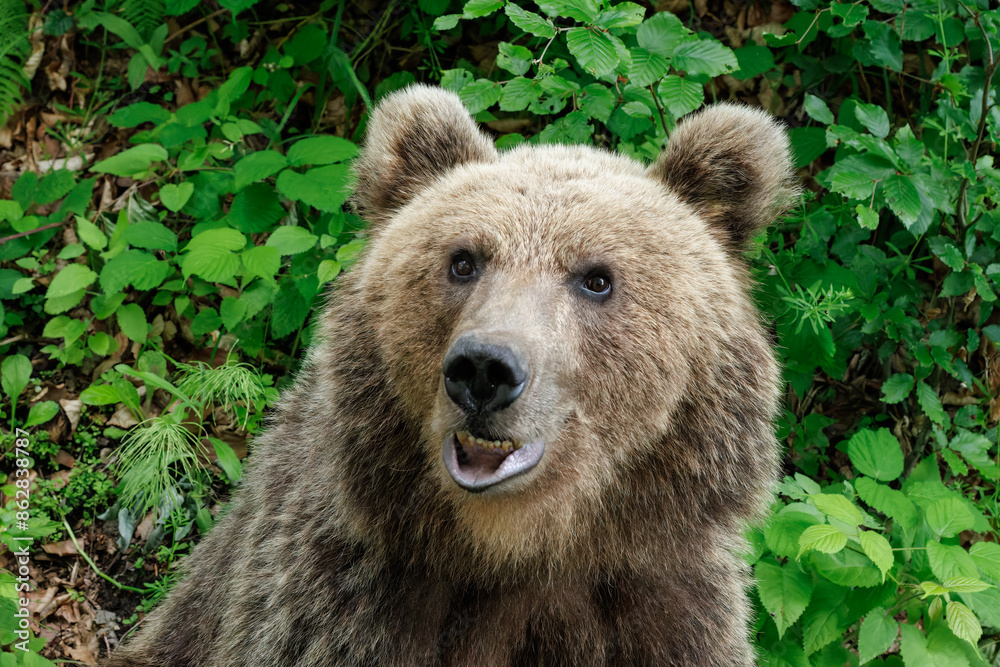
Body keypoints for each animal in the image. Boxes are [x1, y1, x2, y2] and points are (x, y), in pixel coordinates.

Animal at [104, 85, 795, 667]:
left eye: (597, 278)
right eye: (464, 260)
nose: (484, 369)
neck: (518, 553)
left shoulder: (660, 607)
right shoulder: (342, 600)